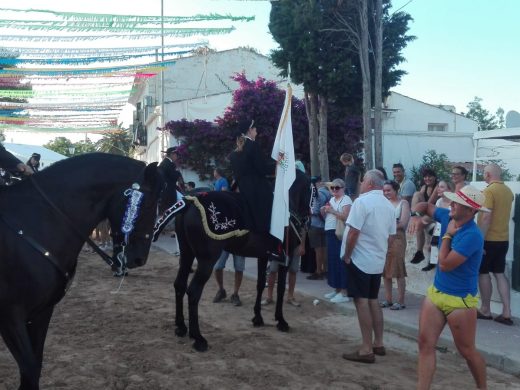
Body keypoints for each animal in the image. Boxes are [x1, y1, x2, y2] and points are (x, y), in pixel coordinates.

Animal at [0, 153, 162, 390]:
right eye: (149, 204)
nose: (139, 259)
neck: (36, 223)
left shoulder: (41, 312)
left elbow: (34, 367)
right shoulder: (10, 317)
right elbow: (29, 369)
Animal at [173, 170, 310, 350]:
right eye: (311, 190)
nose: (306, 218)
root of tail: (190, 202)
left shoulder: (264, 256)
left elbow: (261, 284)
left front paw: (258, 318)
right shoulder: (284, 258)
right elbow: (280, 288)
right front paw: (281, 321)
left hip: (187, 253)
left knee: (179, 285)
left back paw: (181, 327)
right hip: (206, 260)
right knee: (194, 291)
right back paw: (198, 338)